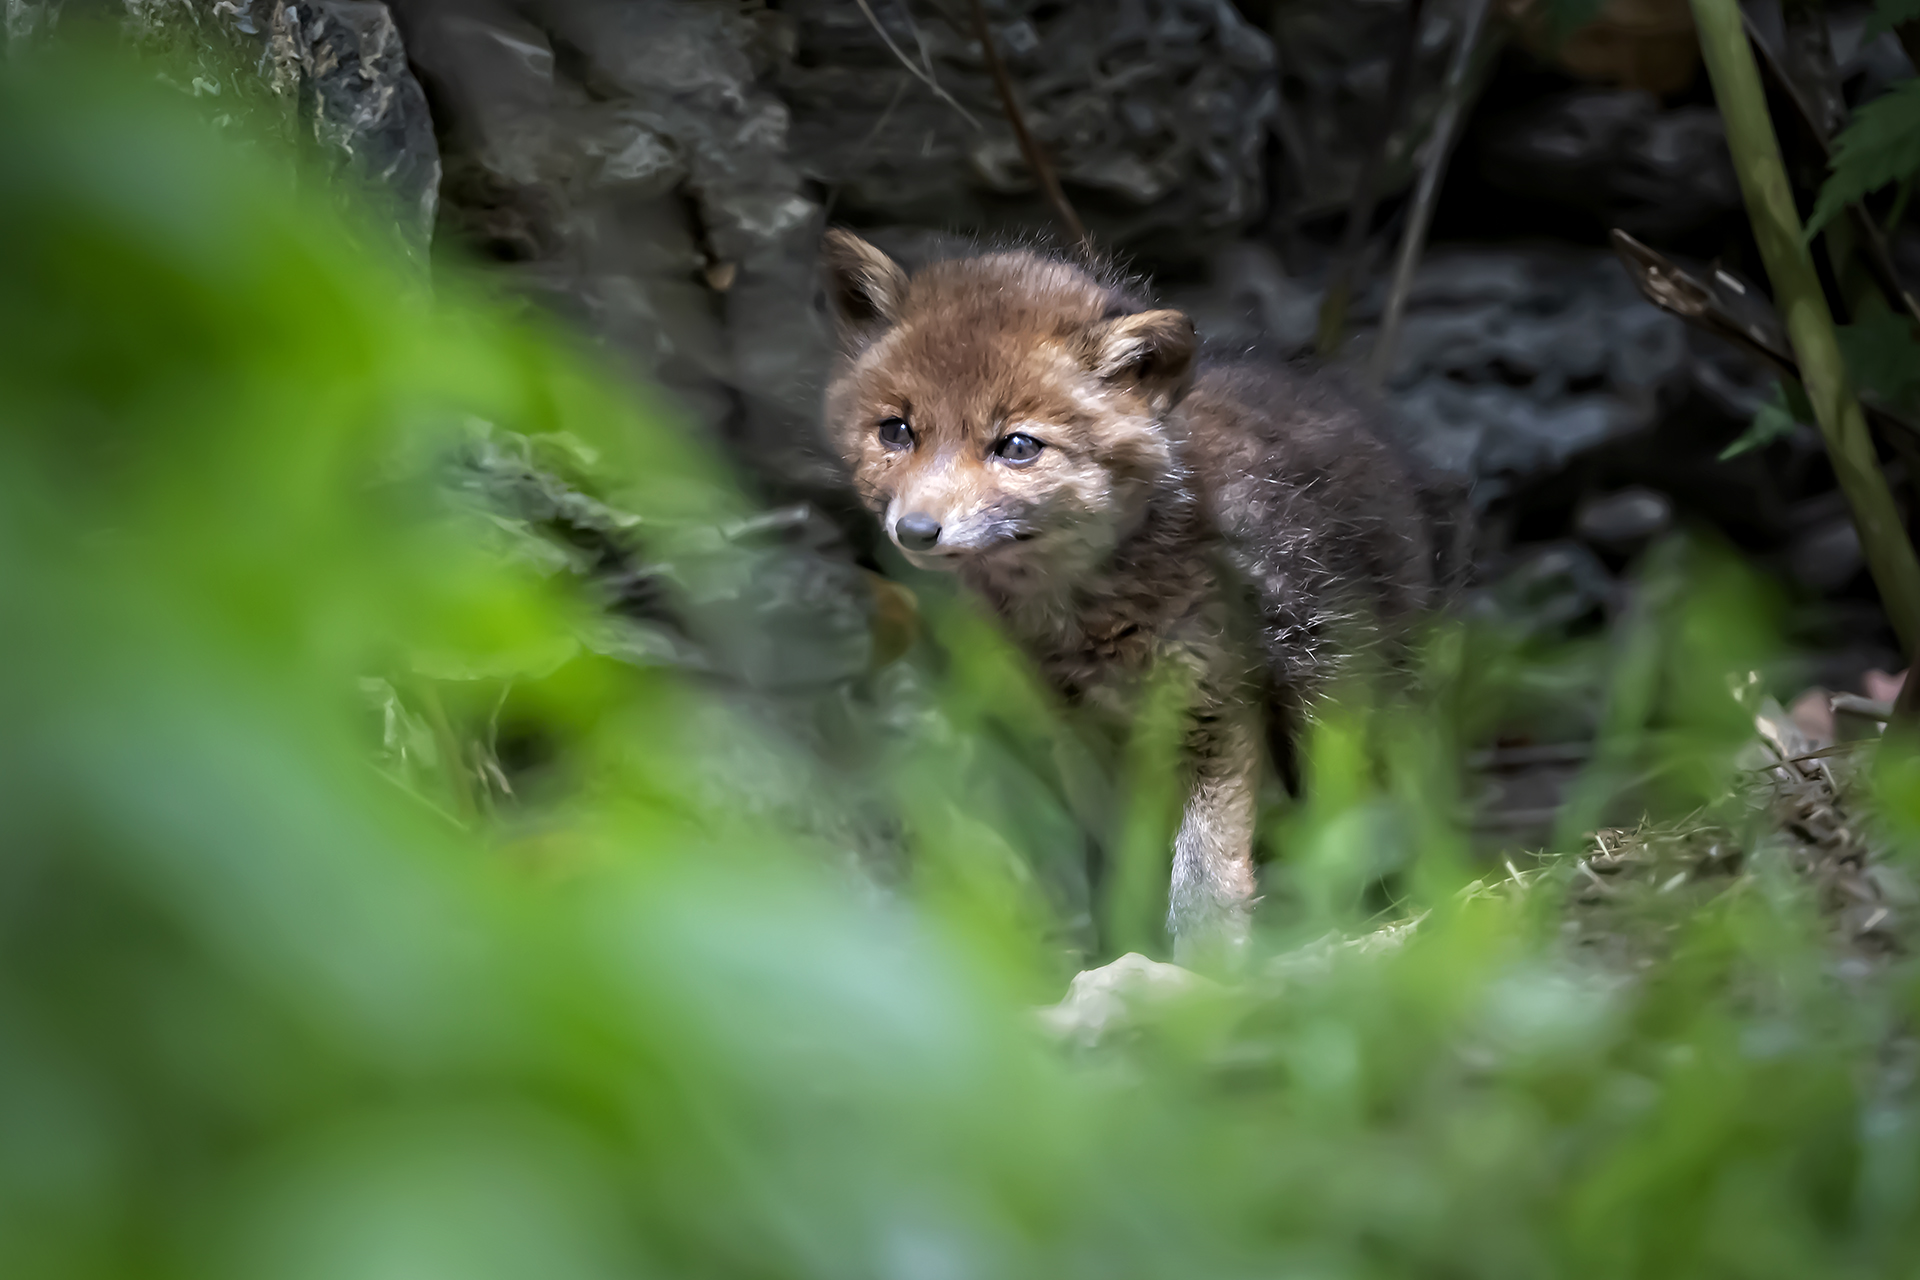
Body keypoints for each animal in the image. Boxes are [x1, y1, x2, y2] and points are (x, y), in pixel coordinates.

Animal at [818, 229, 1461, 962]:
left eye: (1016, 446)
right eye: (895, 431)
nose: (916, 530)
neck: (1088, 619)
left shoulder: (1219, 713)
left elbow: (1205, 874)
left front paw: (1206, 972)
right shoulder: (1080, 732)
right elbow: (1119, 866)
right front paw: (1119, 953)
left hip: (1331, 707)